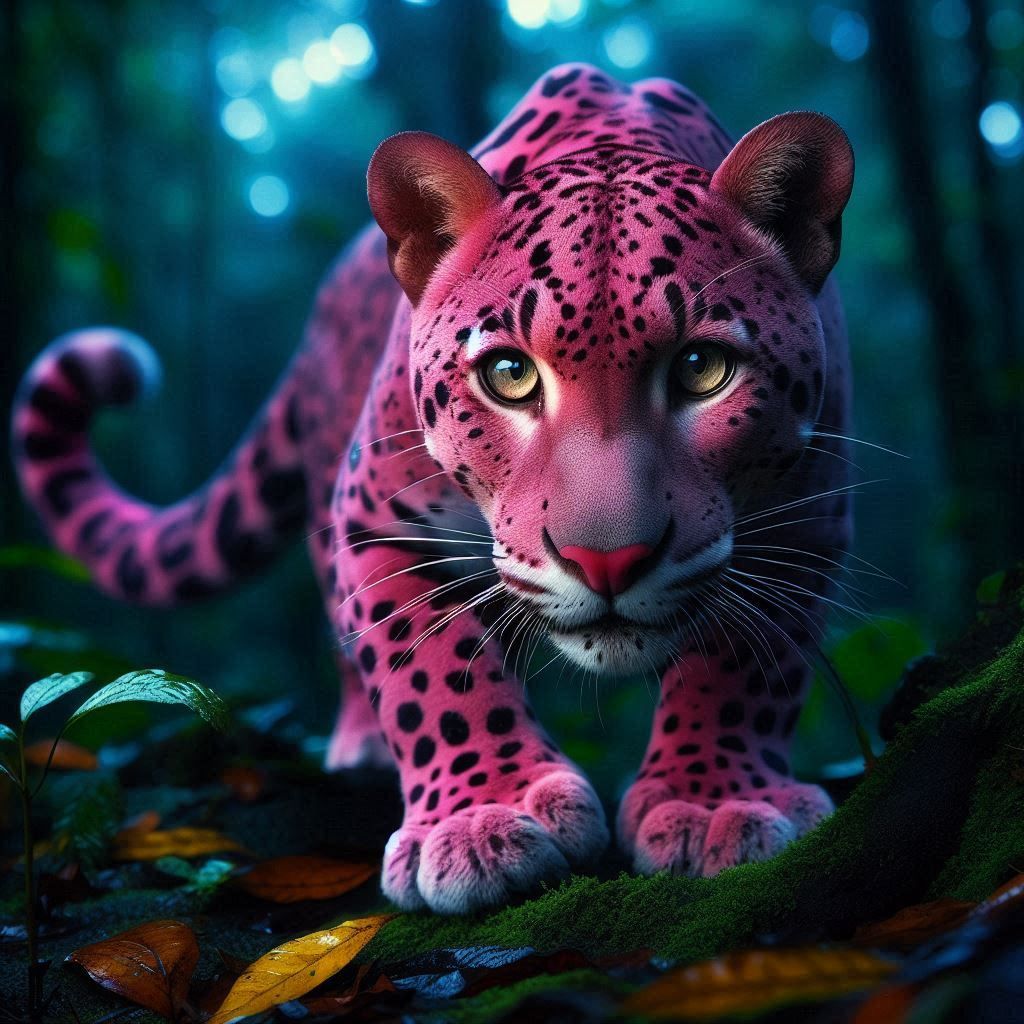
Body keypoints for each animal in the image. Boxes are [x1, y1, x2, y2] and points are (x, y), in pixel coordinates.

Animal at [11, 63, 855, 915]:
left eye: (702, 370)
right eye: (509, 375)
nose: (607, 562)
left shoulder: (803, 521)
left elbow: (744, 669)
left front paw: (712, 800)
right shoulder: (373, 520)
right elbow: (429, 669)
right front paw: (485, 819)